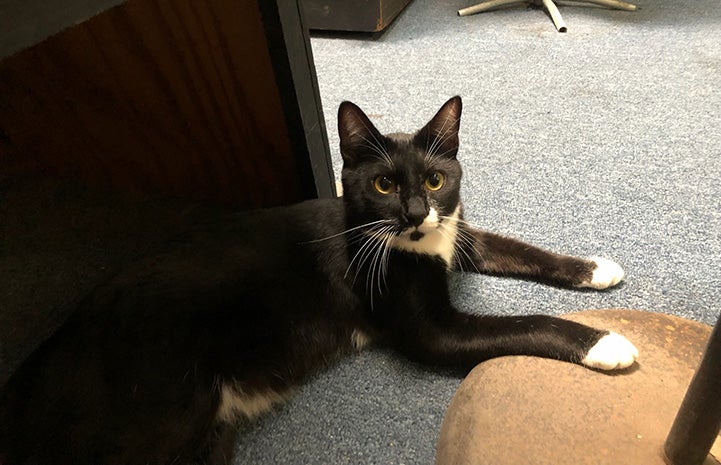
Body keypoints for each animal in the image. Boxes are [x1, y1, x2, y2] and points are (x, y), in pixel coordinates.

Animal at [2, 96, 636, 464]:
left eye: (435, 180)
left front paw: (596, 268)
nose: (414, 213)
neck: (403, 242)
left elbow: (515, 248)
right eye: (383, 184)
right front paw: (606, 342)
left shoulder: (452, 234)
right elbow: (529, 321)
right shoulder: (432, 330)